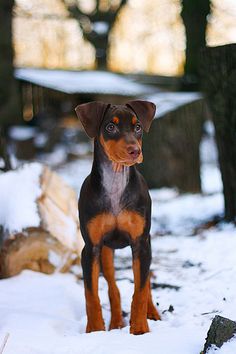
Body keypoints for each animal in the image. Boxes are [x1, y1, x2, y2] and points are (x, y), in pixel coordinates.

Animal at [75, 99, 160, 334]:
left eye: (137, 127)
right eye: (110, 127)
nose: (135, 151)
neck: (115, 183)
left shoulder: (141, 243)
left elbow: (140, 290)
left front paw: (139, 329)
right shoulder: (90, 248)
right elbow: (90, 294)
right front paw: (94, 330)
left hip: (146, 244)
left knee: (146, 282)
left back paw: (152, 312)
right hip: (105, 252)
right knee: (113, 286)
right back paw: (115, 322)